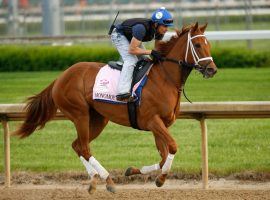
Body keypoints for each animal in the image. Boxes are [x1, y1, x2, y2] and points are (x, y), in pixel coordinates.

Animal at [14, 22, 217, 193]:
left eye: (208, 44)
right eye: (197, 45)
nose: (212, 69)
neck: (164, 78)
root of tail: (60, 77)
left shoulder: (160, 125)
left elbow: (162, 156)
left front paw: (134, 171)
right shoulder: (153, 121)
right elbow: (173, 147)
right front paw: (161, 179)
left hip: (98, 119)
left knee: (77, 145)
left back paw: (94, 180)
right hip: (80, 114)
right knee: (84, 147)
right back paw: (108, 180)